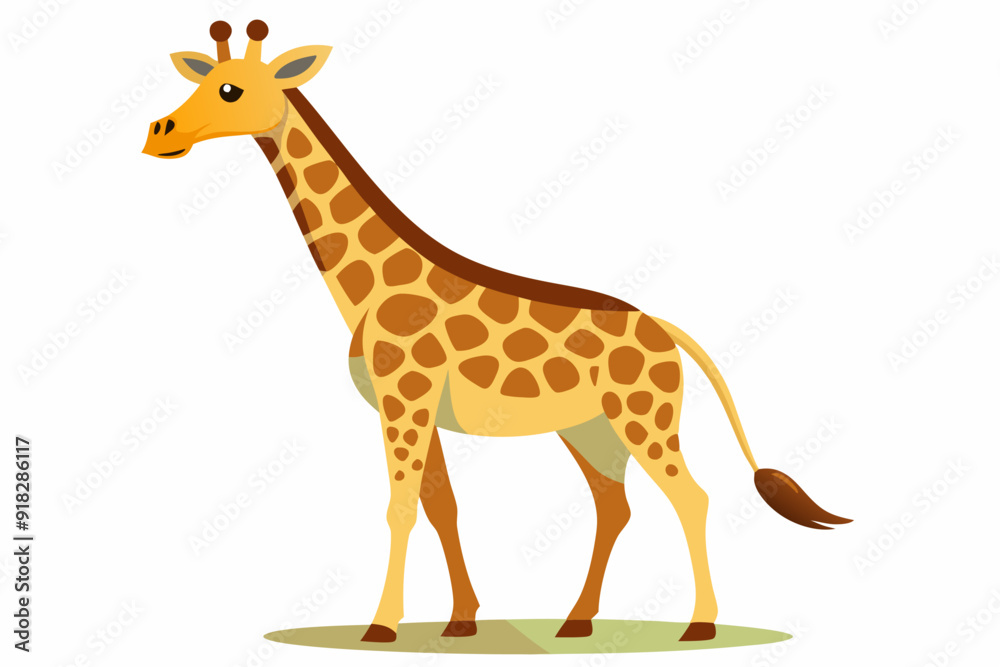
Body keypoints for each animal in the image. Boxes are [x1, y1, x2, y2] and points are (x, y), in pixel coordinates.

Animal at [143, 21, 851, 644]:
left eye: (230, 90)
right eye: (202, 79)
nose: (158, 133)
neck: (366, 290)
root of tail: (665, 329)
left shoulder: (406, 397)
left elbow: (401, 507)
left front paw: (381, 626)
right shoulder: (415, 405)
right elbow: (442, 507)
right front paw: (461, 621)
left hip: (643, 414)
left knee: (691, 497)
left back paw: (697, 626)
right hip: (589, 427)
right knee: (615, 505)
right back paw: (576, 621)